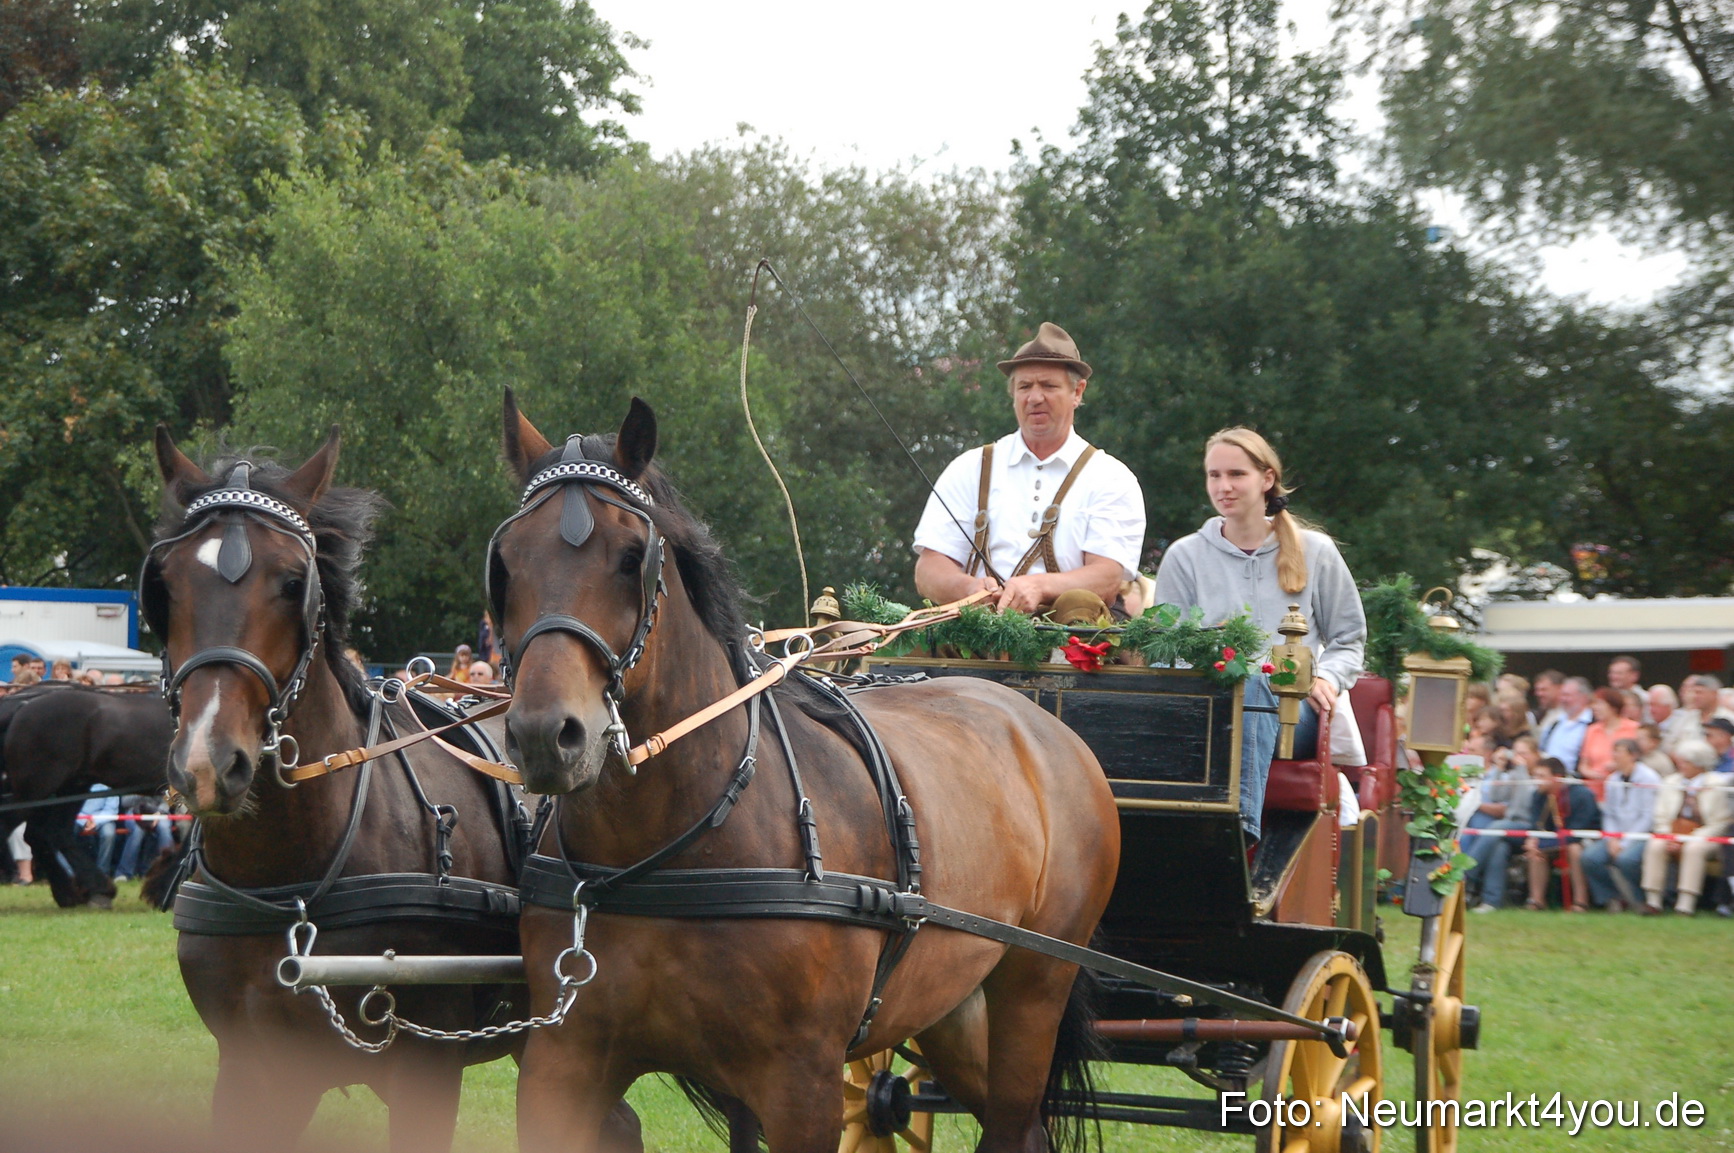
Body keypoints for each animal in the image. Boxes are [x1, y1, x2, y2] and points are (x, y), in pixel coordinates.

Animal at [0, 683, 174, 907]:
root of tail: (23, 705)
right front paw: (165, 890)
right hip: (35, 789)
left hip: (71, 786)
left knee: (50, 833)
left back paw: (79, 892)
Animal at [145, 428, 642, 1153]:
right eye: (165, 584)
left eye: (293, 582)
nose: (208, 761)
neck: (292, 880)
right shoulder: (252, 1071)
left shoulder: (426, 1068)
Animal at [493, 393, 1122, 1153]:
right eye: (505, 563)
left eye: (630, 557)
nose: (544, 735)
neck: (660, 849)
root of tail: (1044, 727)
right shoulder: (564, 1062)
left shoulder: (802, 1085)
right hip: (953, 1002)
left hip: (1034, 987)